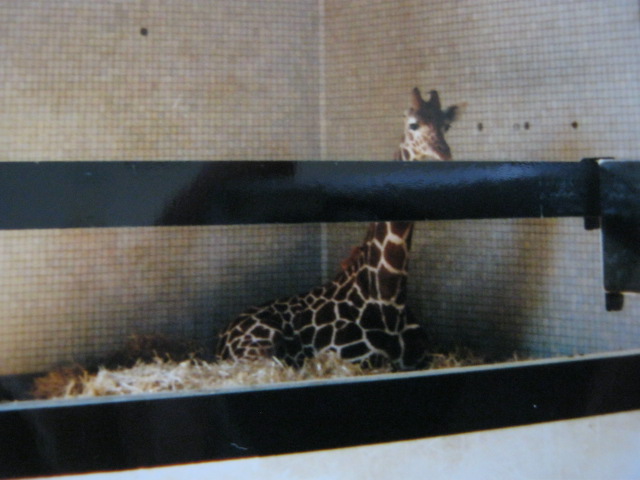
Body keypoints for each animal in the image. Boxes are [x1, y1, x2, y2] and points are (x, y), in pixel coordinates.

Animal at [216, 87, 457, 370]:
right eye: (413, 124)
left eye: (446, 126)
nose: (444, 156)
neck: (388, 299)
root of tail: (220, 336)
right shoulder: (356, 360)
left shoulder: (423, 359)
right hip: (257, 346)